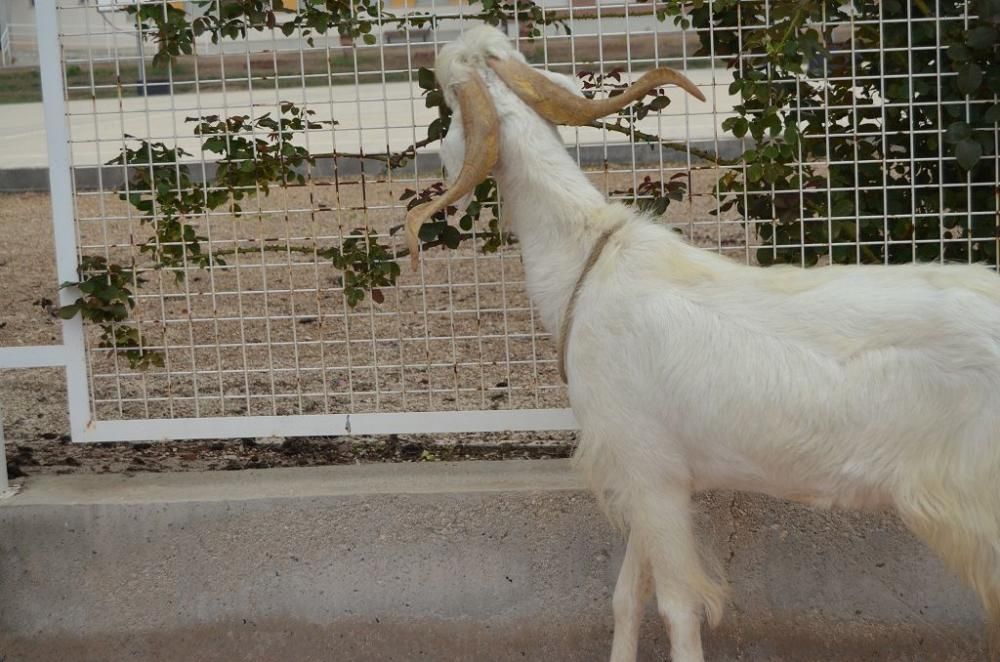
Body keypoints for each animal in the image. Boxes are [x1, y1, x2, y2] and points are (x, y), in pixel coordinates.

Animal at [404, 24, 1000, 662]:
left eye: (447, 100)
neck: (588, 265)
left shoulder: (654, 471)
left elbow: (677, 607)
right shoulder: (644, 473)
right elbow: (625, 599)